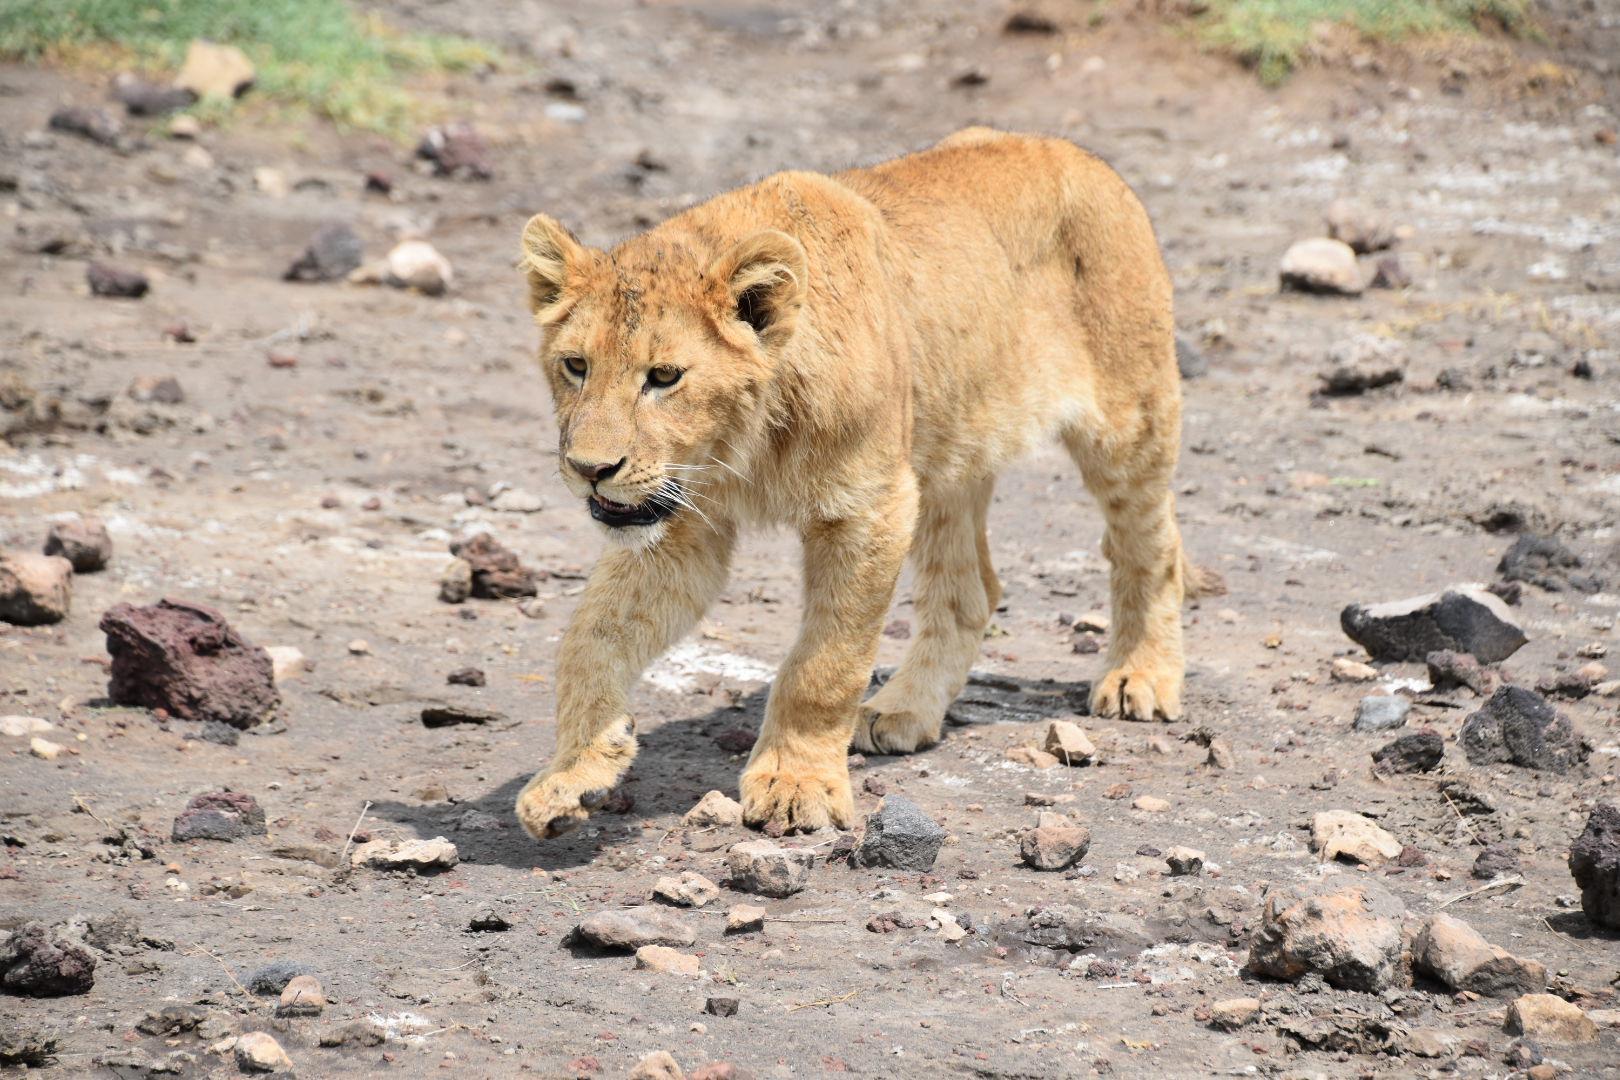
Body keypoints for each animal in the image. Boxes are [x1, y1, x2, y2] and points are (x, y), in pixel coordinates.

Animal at [514, 127, 1206, 840]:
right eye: (575, 366)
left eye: (664, 376)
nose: (590, 469)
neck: (744, 446)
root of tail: (1069, 149)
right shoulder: (680, 519)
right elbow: (591, 637)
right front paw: (574, 771)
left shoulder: (870, 506)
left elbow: (824, 664)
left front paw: (796, 786)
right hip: (943, 454)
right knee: (971, 590)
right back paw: (904, 709)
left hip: (1127, 422)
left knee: (1151, 546)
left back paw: (1139, 676)